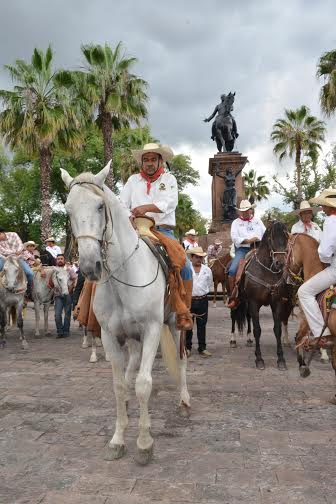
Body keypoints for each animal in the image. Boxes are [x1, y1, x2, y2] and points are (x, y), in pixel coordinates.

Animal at [61, 162, 190, 464]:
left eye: (100, 206)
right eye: (68, 209)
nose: (89, 265)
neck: (125, 276)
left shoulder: (153, 329)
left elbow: (144, 383)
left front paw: (144, 443)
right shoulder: (111, 336)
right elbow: (120, 386)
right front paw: (118, 439)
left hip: (174, 324)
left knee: (181, 361)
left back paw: (184, 401)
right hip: (132, 337)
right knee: (132, 367)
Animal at [235, 220, 292, 370]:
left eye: (286, 237)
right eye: (271, 239)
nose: (280, 262)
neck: (266, 271)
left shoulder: (276, 302)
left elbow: (277, 329)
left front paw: (281, 360)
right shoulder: (254, 303)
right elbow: (257, 330)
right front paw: (259, 359)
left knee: (247, 317)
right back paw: (233, 340)